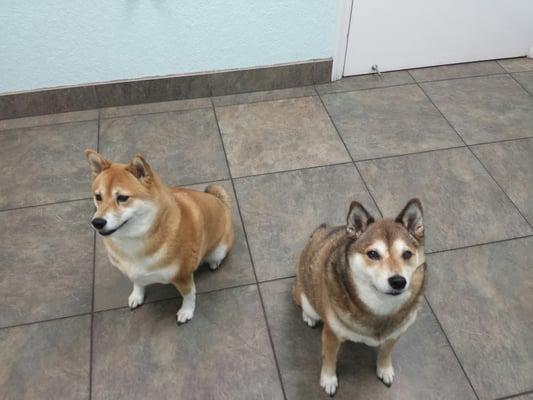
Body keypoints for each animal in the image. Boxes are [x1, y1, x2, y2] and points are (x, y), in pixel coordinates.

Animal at [84, 152, 232, 324]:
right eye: (98, 197)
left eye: (122, 197)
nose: (97, 222)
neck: (134, 241)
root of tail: (220, 202)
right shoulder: (133, 271)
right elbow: (137, 282)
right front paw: (137, 295)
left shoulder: (182, 275)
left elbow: (189, 296)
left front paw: (186, 311)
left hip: (220, 248)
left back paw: (214, 262)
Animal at [290, 198, 424, 396]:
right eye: (373, 254)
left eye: (407, 254)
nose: (398, 281)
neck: (380, 308)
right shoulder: (331, 335)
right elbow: (329, 359)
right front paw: (328, 380)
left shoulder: (395, 334)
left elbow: (386, 352)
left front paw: (385, 369)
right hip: (306, 296)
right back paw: (309, 317)